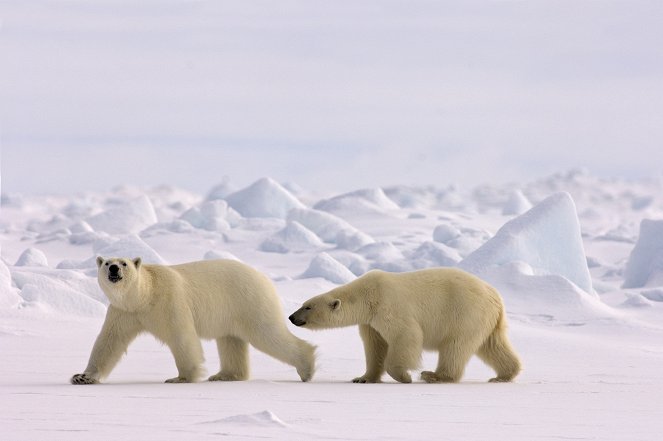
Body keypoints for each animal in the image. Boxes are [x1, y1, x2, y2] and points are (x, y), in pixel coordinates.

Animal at [70, 256, 316, 384]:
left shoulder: (169, 301)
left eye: (124, 263)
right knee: (231, 341)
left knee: (267, 334)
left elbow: (181, 337)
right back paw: (225, 375)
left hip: (249, 301)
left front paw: (182, 378)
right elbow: (108, 341)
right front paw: (82, 377)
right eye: (106, 263)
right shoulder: (123, 312)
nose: (113, 268)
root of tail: (265, 278)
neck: (143, 296)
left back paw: (306, 368)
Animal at [288, 266, 520, 384]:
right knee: (493, 345)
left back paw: (434, 375)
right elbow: (375, 346)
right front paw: (363, 378)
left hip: (465, 313)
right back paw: (504, 375)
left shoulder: (389, 306)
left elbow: (405, 336)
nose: (291, 317)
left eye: (307, 306)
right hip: (487, 320)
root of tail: (496, 297)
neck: (368, 295)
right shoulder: (370, 321)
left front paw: (405, 376)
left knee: (455, 346)